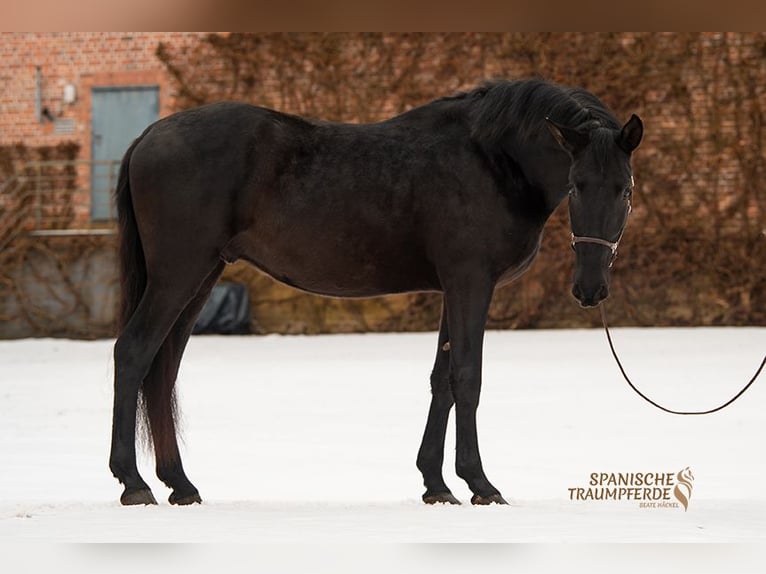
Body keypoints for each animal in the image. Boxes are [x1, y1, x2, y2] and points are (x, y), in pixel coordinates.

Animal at [109, 78, 643, 506]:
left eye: (626, 188)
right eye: (576, 185)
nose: (590, 289)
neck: (492, 160)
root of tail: (147, 136)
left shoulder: (453, 287)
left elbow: (441, 380)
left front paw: (436, 485)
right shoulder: (471, 282)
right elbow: (467, 378)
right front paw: (479, 483)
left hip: (201, 277)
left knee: (163, 369)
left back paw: (179, 484)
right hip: (179, 274)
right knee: (134, 353)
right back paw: (133, 482)